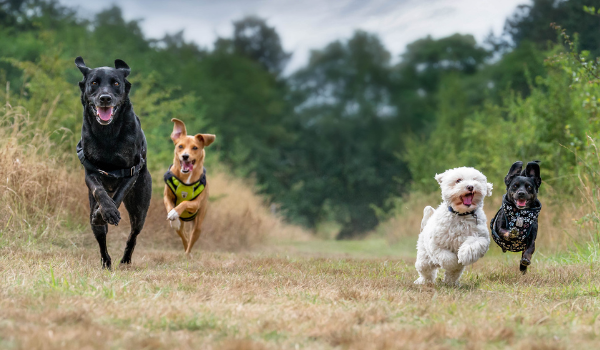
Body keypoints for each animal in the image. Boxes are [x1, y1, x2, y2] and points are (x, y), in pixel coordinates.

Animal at [74, 57, 152, 270]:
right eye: (94, 83)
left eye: (116, 83)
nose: (105, 98)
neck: (107, 134)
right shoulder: (90, 172)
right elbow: (99, 191)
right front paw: (104, 211)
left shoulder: (131, 171)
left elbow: (118, 195)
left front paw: (109, 211)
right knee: (101, 236)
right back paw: (106, 261)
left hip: (140, 209)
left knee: (133, 235)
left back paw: (125, 260)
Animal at [164, 118, 216, 254]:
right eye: (180, 146)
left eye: (195, 147)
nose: (185, 156)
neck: (186, 177)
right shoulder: (167, 195)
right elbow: (169, 204)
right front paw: (173, 216)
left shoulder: (196, 204)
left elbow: (185, 202)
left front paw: (175, 212)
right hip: (182, 228)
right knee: (184, 236)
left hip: (198, 225)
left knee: (191, 240)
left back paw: (188, 254)